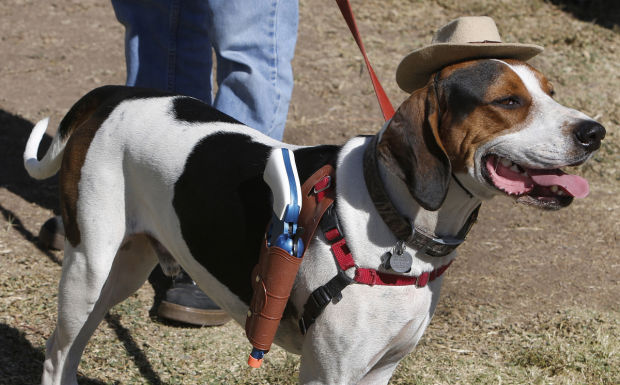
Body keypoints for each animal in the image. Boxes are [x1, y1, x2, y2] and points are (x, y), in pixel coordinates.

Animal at [25, 19, 604, 384]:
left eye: (550, 92)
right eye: (508, 101)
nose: (595, 132)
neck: (396, 223)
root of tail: (118, 94)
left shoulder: (380, 370)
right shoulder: (330, 373)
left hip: (126, 266)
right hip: (89, 269)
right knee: (56, 357)